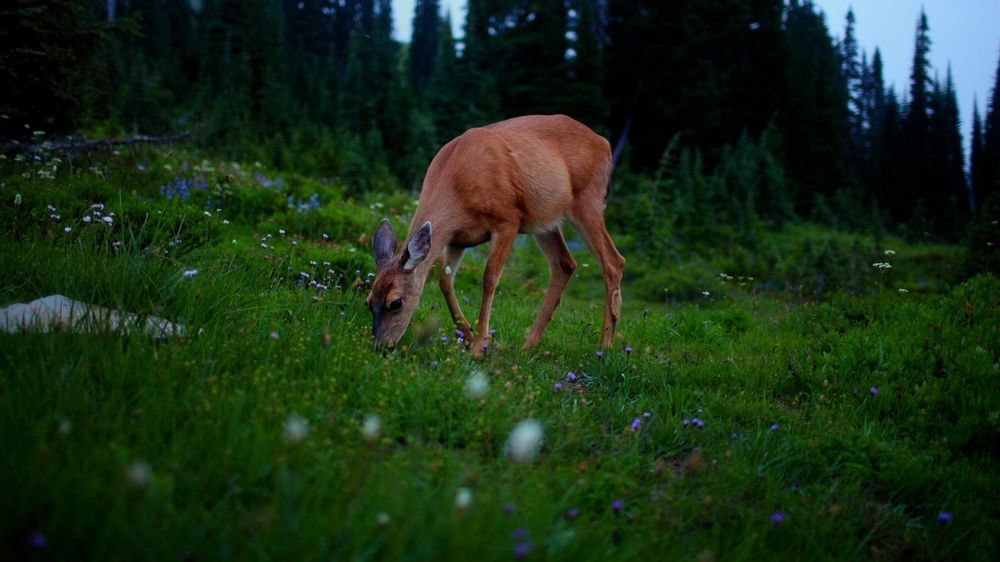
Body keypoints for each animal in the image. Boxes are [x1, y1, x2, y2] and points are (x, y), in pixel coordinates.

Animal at [364, 114, 620, 356]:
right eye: (368, 301)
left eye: (396, 303)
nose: (380, 347)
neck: (457, 185)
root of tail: (605, 143)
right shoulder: (457, 238)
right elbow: (445, 281)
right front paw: (467, 335)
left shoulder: (508, 219)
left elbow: (489, 279)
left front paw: (480, 344)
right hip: (544, 221)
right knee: (565, 264)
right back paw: (528, 344)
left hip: (588, 200)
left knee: (613, 261)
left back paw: (605, 344)